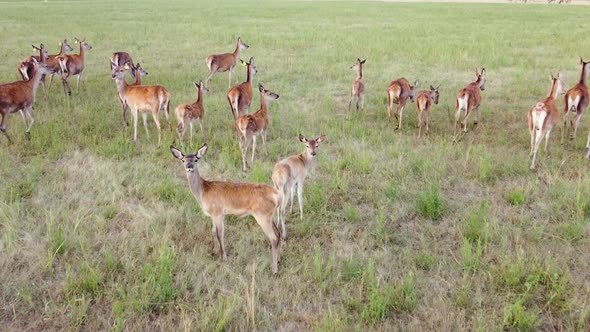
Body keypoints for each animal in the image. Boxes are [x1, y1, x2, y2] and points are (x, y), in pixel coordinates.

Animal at [170, 144, 284, 274]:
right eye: (183, 160)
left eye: (196, 159)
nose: (189, 167)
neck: (203, 192)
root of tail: (278, 195)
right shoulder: (214, 215)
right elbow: (213, 231)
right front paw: (213, 252)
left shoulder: (218, 213)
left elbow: (220, 234)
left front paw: (223, 258)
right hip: (270, 216)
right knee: (278, 233)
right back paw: (279, 260)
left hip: (262, 216)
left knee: (273, 238)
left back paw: (274, 269)